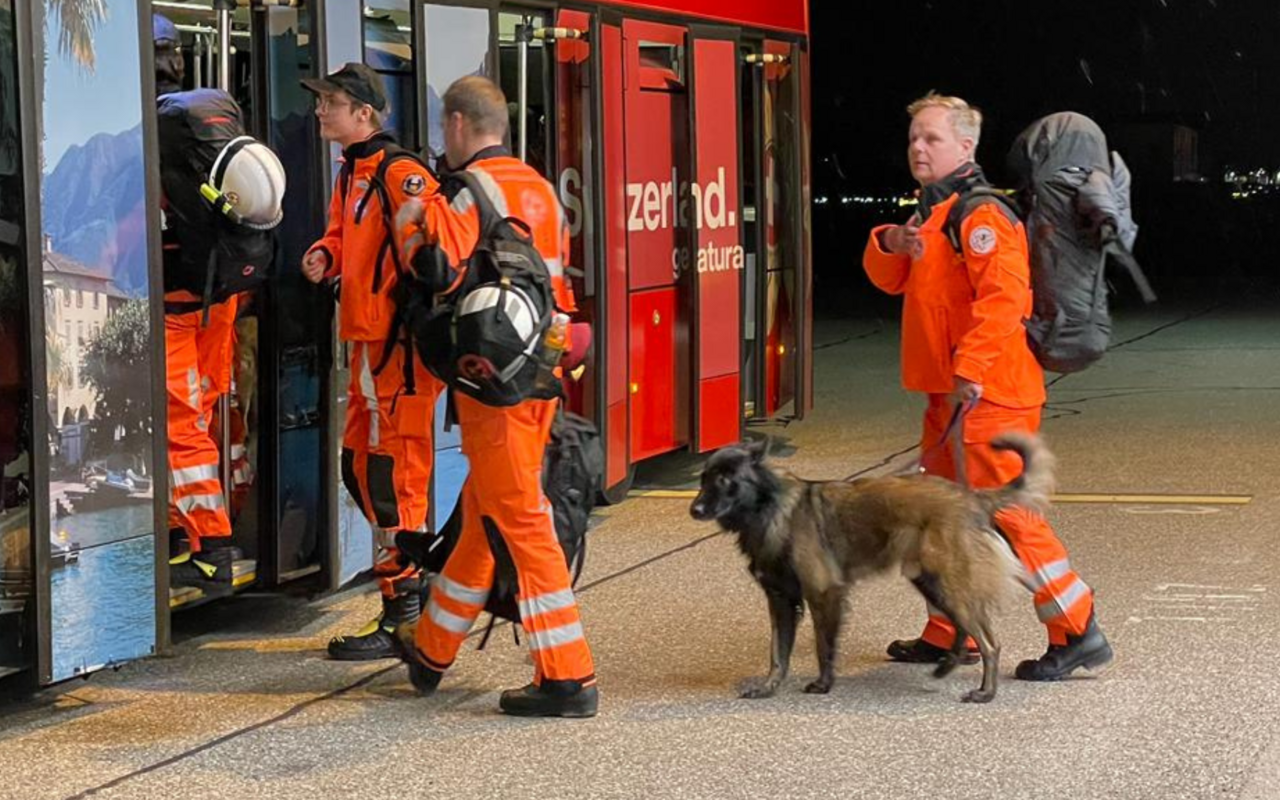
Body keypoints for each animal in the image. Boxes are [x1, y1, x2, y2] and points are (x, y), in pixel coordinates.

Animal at [691, 432, 1049, 701]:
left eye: (725, 479)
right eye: (705, 478)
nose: (694, 509)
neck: (769, 507)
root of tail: (972, 498)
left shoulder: (823, 593)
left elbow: (823, 645)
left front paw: (823, 684)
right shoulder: (779, 599)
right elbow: (777, 653)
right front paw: (768, 687)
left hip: (947, 583)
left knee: (989, 642)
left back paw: (985, 692)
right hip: (932, 581)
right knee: (964, 629)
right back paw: (946, 667)